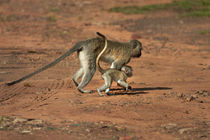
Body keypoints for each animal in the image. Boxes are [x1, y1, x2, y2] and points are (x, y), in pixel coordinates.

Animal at [6, 32, 143, 93]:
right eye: (140, 49)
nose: (141, 54)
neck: (129, 48)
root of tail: (84, 42)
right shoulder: (124, 58)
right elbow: (115, 67)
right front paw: (121, 85)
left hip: (84, 53)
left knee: (86, 66)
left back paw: (75, 81)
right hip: (89, 51)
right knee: (91, 69)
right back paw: (81, 88)